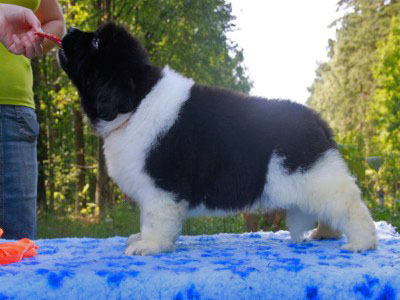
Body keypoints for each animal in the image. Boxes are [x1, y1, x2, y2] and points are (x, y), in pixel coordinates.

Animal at [57, 22, 376, 254]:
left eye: (96, 43)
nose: (68, 30)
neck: (136, 103)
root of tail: (317, 119)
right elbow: (147, 217)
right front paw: (141, 239)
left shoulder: (161, 186)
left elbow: (155, 219)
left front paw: (149, 246)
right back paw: (325, 234)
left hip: (315, 176)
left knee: (349, 205)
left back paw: (362, 242)